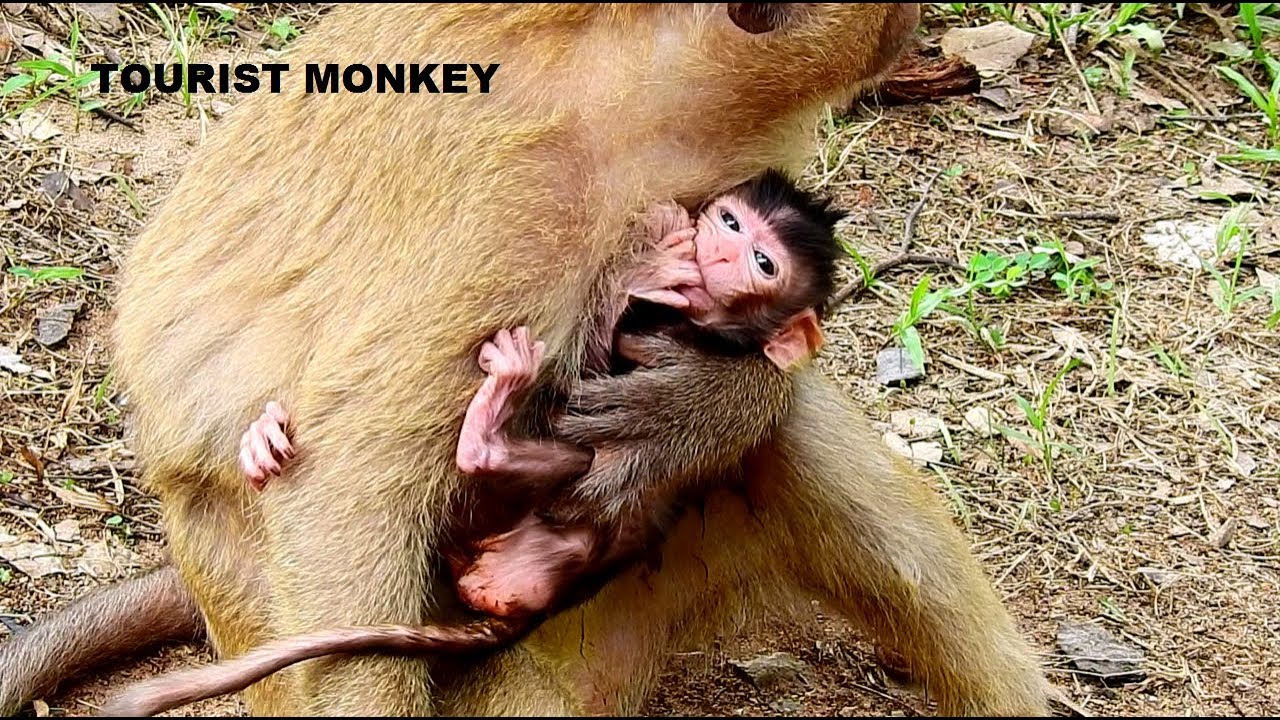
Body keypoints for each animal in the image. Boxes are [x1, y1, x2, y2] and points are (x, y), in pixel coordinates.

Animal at [0, 4, 1055, 717]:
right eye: (730, 237)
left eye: (753, 251)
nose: (911, 27)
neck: (645, 71)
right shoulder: (517, 203)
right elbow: (348, 479)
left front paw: (708, 402)